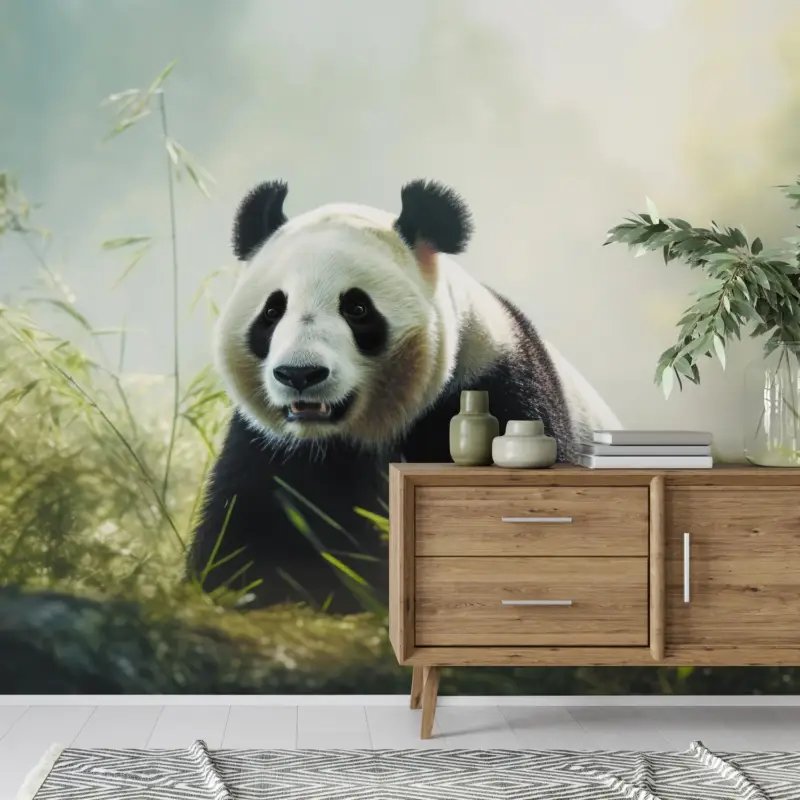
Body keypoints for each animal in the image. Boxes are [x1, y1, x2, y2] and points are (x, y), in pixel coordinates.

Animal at [188, 179, 621, 613]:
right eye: (273, 311)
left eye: (357, 308)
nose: (300, 374)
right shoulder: (270, 447)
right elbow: (245, 530)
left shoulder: (497, 382)